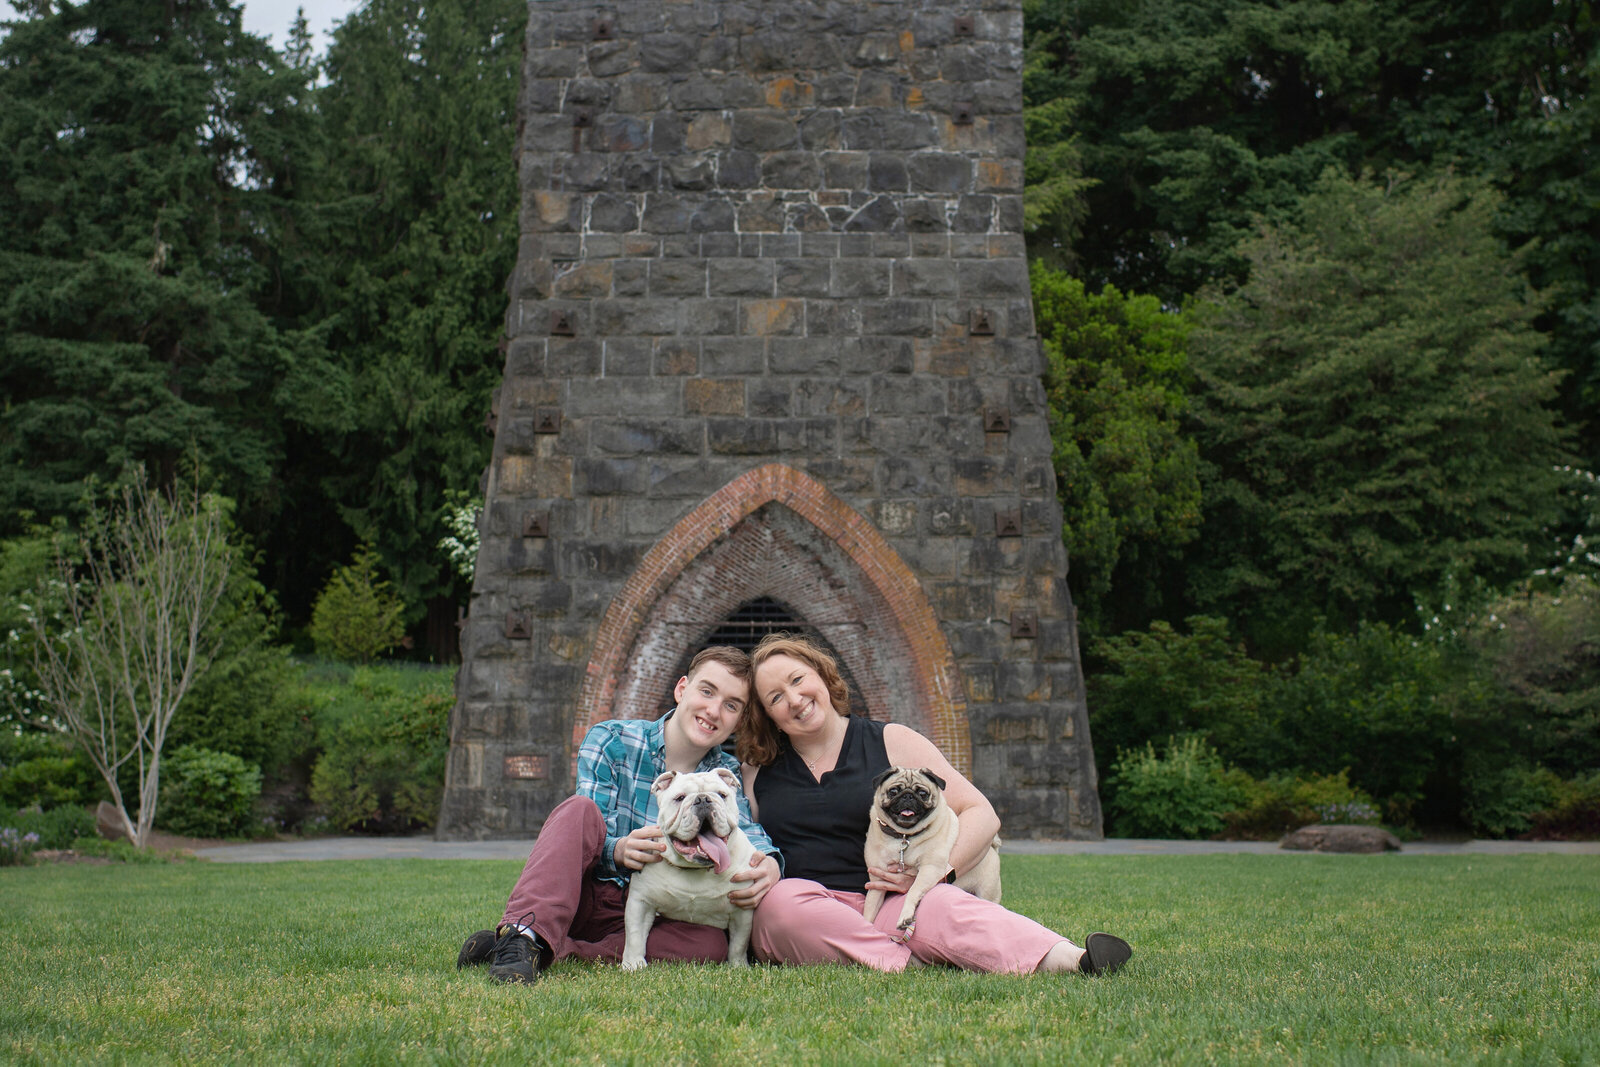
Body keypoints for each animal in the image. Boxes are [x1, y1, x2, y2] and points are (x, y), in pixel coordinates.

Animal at [617, 771, 755, 972]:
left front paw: (738, 966)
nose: (703, 799)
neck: (695, 868)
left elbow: (739, 944)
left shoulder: (741, 911)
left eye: (722, 795)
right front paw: (633, 964)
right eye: (680, 798)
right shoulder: (641, 901)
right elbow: (634, 936)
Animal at [864, 767, 998, 934]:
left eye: (922, 793)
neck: (903, 836)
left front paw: (905, 916)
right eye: (893, 791)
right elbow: (869, 909)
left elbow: (913, 890)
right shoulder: (878, 882)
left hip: (987, 892)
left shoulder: (930, 869)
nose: (908, 796)